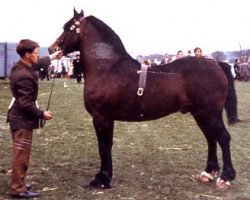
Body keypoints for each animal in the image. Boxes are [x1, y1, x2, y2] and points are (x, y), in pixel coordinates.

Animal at [49, 9, 238, 189]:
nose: (51, 49)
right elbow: (107, 146)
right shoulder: (107, 118)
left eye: (68, 28)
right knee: (211, 138)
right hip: (200, 114)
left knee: (223, 138)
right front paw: (105, 177)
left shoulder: (101, 117)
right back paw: (208, 173)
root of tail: (216, 63)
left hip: (209, 113)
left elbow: (103, 147)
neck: (107, 68)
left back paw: (225, 177)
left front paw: (101, 179)